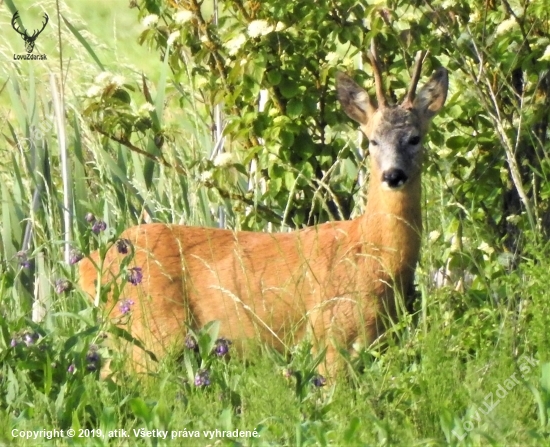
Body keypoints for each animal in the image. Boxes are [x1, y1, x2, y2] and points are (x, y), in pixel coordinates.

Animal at [80, 43, 450, 378]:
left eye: (415, 138)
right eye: (372, 140)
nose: (393, 175)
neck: (374, 255)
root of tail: (89, 264)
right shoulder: (330, 334)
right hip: (152, 332)